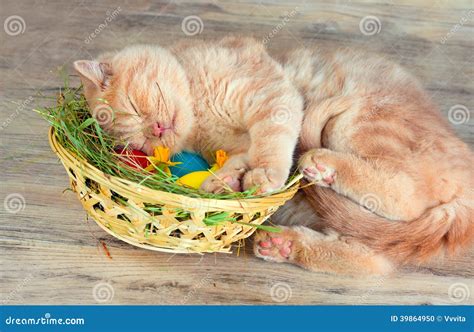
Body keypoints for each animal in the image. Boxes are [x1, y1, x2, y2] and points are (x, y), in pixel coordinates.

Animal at [74, 38, 304, 195]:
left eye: (133, 106)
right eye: (140, 143)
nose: (156, 129)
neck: (198, 113)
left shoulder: (269, 95)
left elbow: (270, 137)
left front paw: (264, 173)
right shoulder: (233, 147)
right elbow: (241, 157)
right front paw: (223, 181)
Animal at [254, 46, 472, 274]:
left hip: (354, 123)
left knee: (406, 195)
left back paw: (323, 165)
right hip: (369, 233)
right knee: (366, 258)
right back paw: (281, 245)